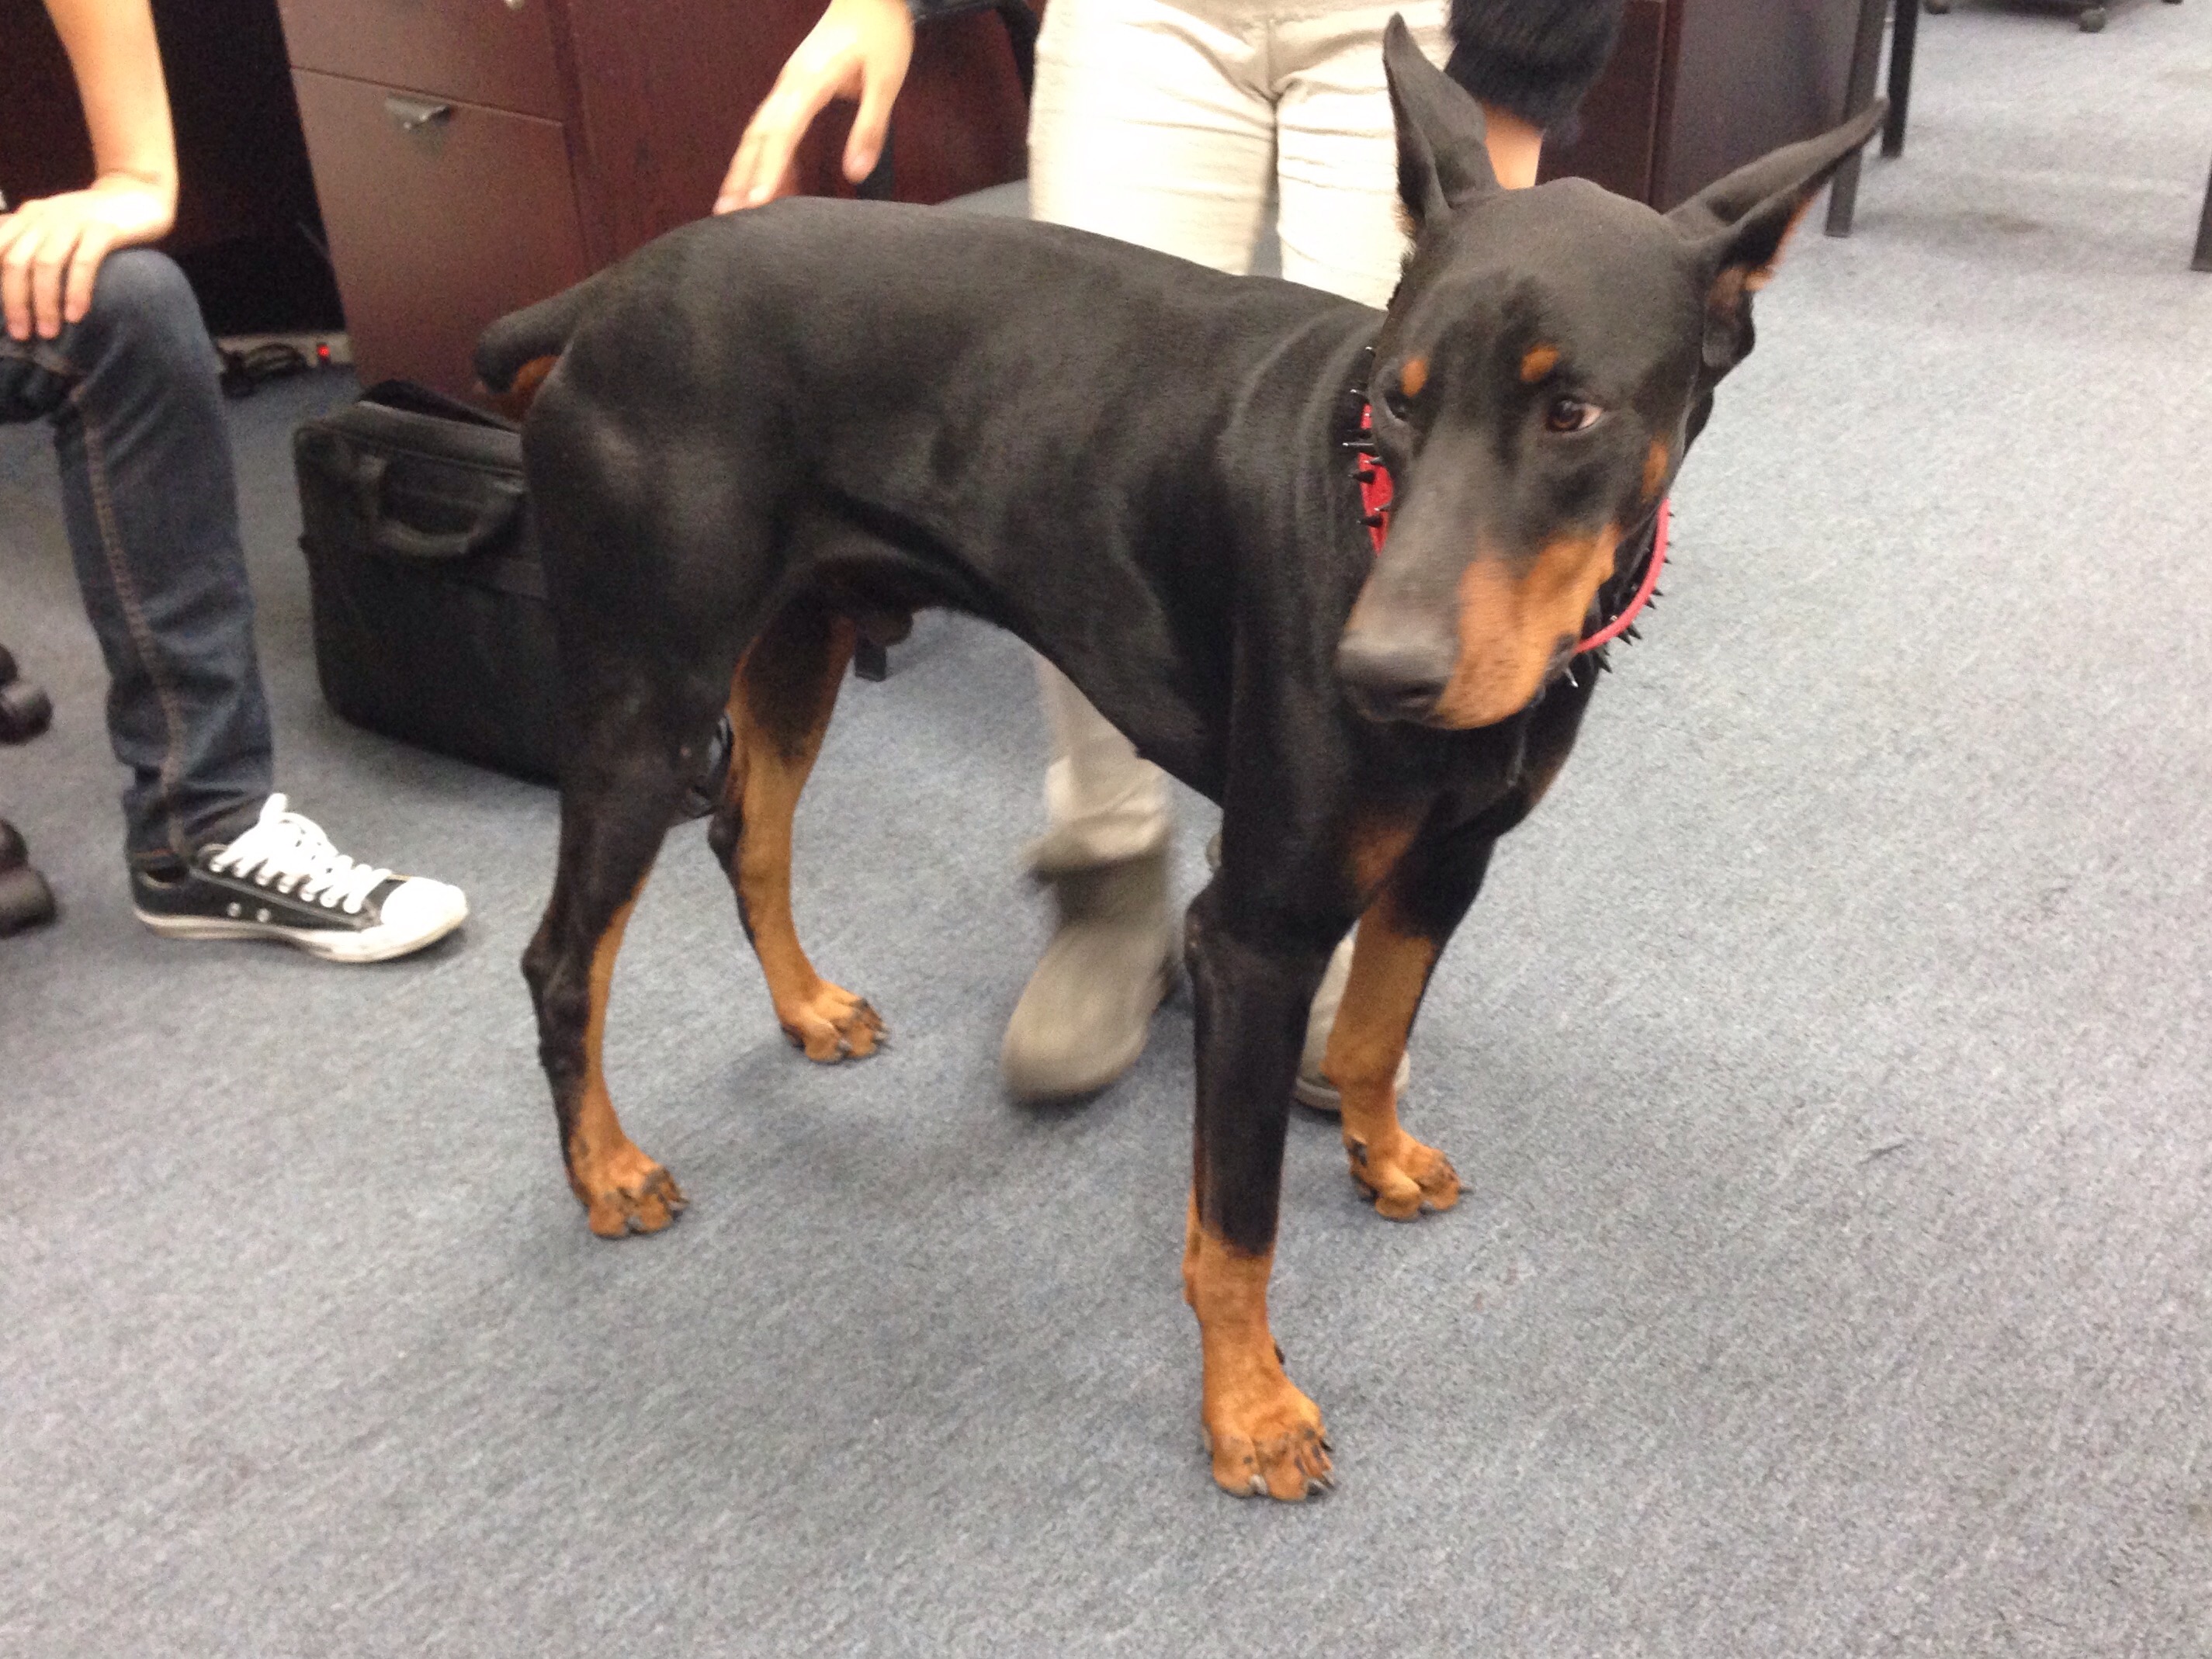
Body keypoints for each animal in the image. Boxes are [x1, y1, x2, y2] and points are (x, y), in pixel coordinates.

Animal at [475, 21, 1881, 1502]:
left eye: (1573, 414)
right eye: (1395, 403)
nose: (1374, 672)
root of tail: (608, 293)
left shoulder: (1446, 860)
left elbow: (1374, 1029)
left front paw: (1379, 1153)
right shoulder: (1253, 931)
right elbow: (1238, 1216)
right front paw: (1249, 1409)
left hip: (803, 633)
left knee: (746, 829)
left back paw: (806, 1009)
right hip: (646, 692)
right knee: (567, 955)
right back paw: (607, 1169)